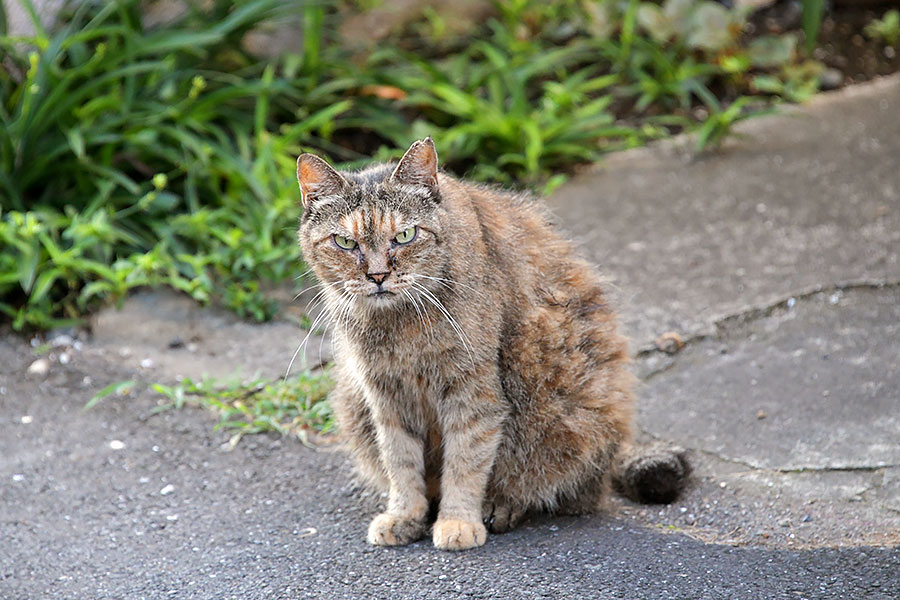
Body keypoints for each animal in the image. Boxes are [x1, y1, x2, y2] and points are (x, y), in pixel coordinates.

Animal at [296, 138, 688, 552]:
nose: (377, 275)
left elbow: (465, 462)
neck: (399, 326)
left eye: (405, 236)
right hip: (352, 400)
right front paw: (405, 515)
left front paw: (457, 520)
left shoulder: (473, 394)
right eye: (345, 242)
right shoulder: (387, 398)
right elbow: (400, 462)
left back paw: (503, 505)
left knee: (562, 489)